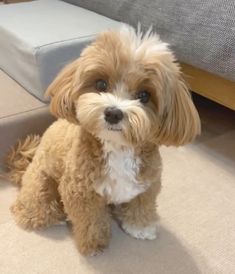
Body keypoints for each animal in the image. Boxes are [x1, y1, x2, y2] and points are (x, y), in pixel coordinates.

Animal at [5, 24, 200, 256]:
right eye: (100, 84)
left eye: (144, 95)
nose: (113, 113)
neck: (118, 148)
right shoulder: (81, 192)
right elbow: (91, 221)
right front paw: (94, 244)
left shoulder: (148, 185)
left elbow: (141, 206)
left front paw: (140, 228)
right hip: (40, 185)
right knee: (34, 209)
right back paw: (50, 216)